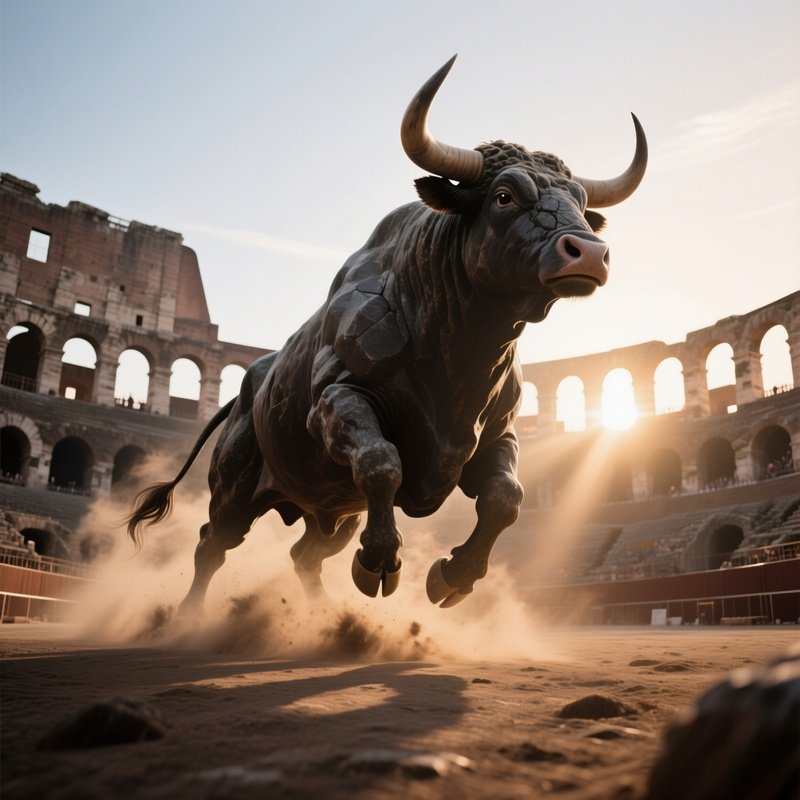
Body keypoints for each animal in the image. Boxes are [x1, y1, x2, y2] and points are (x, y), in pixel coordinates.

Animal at [127, 56, 647, 612]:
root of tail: (247, 388)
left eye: (580, 202)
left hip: (332, 511)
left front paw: (452, 577)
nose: (589, 253)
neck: (458, 353)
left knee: (304, 555)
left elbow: (507, 498)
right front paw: (379, 562)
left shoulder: (496, 435)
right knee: (213, 544)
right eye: (504, 196)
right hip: (235, 485)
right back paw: (188, 615)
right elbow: (382, 463)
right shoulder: (339, 403)